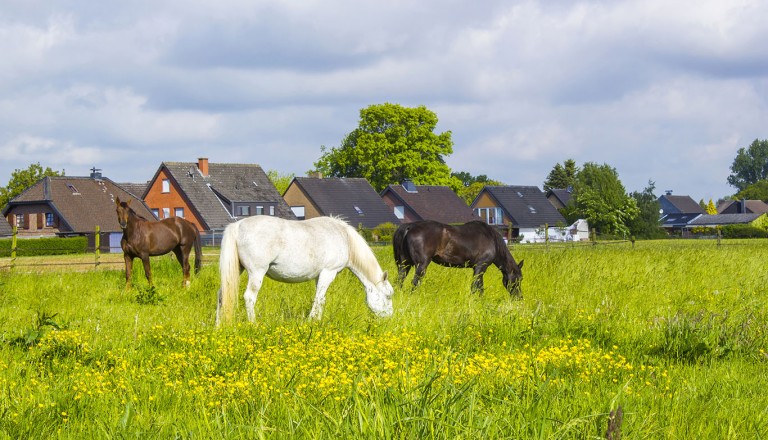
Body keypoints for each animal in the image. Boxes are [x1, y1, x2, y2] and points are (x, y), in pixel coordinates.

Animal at [218, 215, 392, 324]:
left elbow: (321, 299)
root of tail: (238, 225)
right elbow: (319, 299)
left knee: (221, 295)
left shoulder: (319, 276)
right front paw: (311, 321)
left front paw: (317, 320)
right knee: (249, 297)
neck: (345, 238)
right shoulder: (328, 273)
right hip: (256, 273)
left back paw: (218, 326)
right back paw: (253, 324)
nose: (389, 318)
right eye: (388, 296)